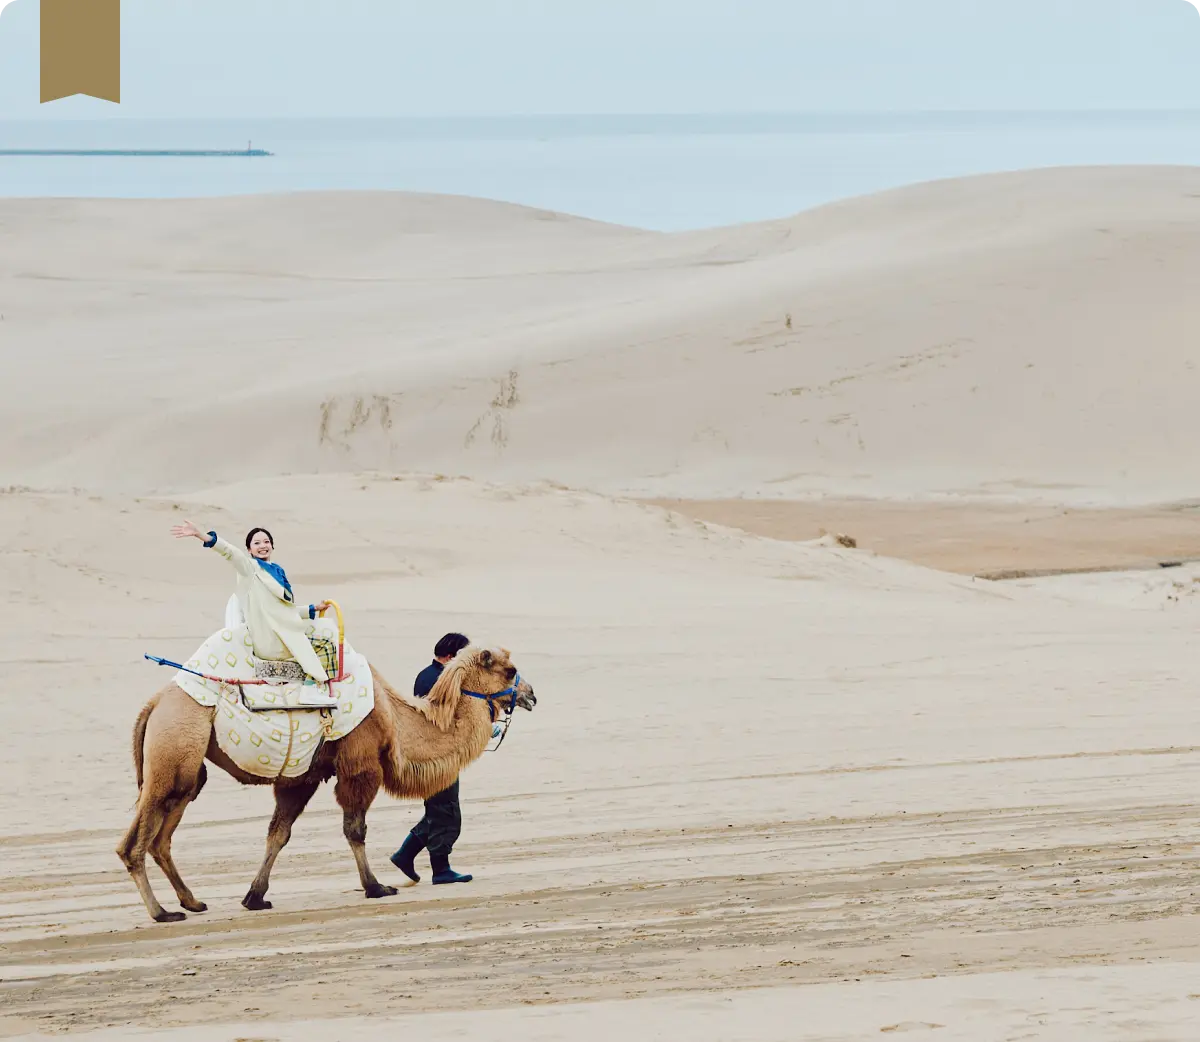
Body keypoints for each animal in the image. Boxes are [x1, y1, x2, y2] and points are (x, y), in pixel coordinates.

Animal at [114, 648, 537, 921]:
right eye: (510, 670)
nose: (531, 694)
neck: (395, 718)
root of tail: (153, 704)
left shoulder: (303, 778)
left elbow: (278, 834)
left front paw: (255, 897)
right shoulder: (361, 767)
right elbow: (355, 829)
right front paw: (376, 887)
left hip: (185, 767)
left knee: (161, 836)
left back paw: (192, 903)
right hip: (175, 750)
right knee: (136, 841)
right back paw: (162, 912)